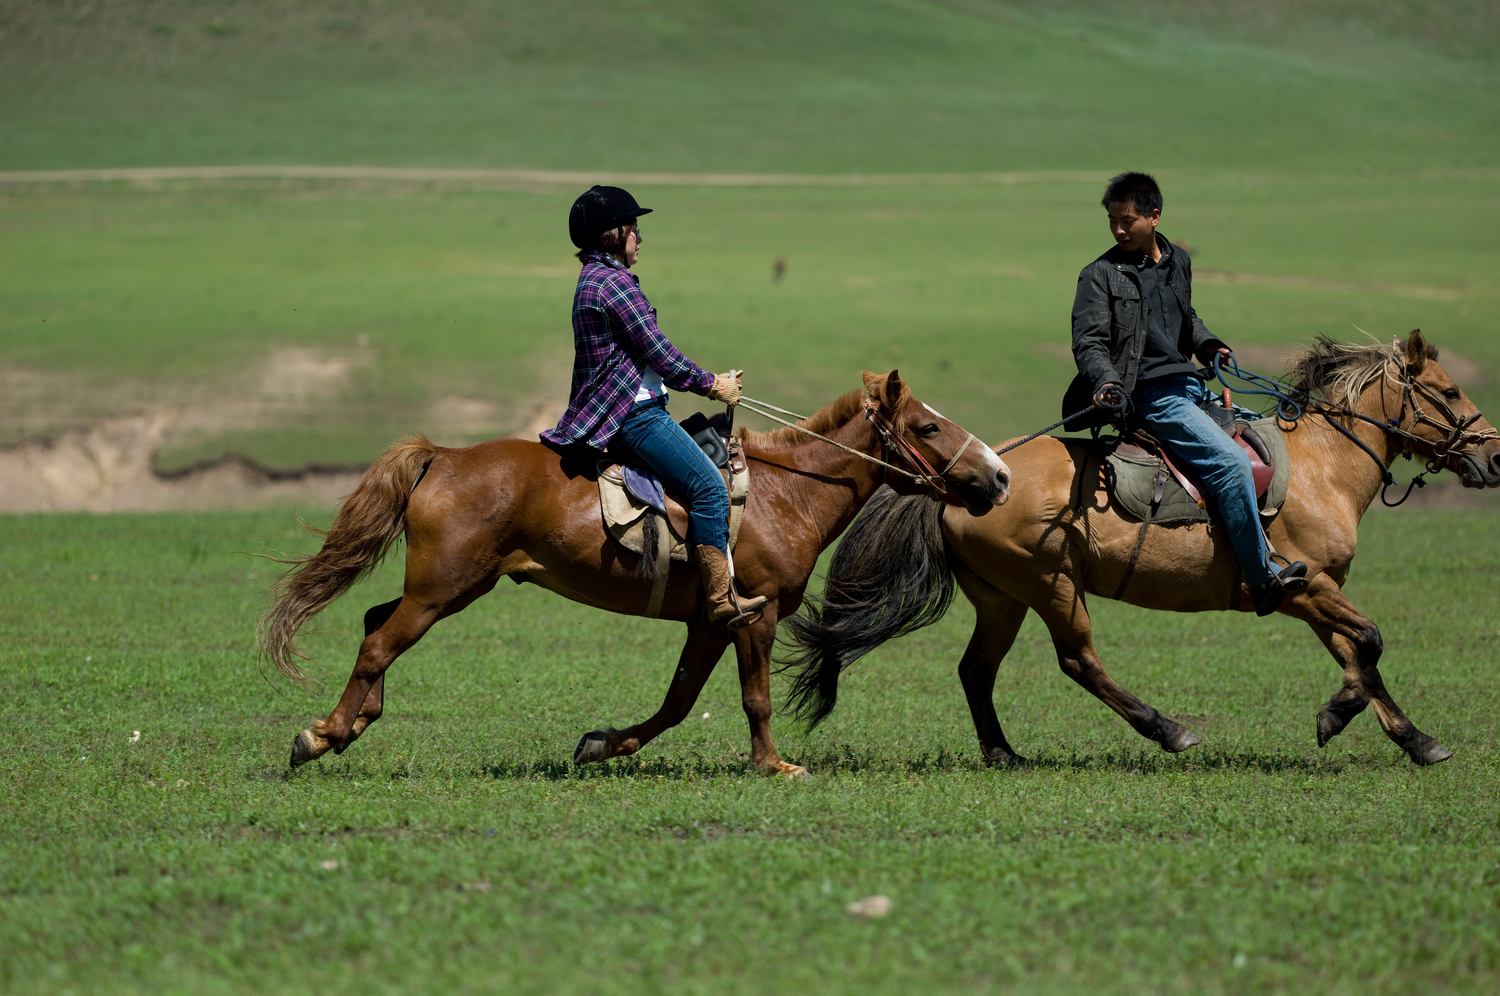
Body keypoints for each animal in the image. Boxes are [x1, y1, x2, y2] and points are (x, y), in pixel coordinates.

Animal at [261, 369, 1008, 774]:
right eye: (928, 427)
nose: (999, 476)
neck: (785, 491)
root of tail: (443, 455)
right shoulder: (756, 613)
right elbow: (756, 698)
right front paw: (774, 764)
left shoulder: (711, 621)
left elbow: (677, 702)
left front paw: (601, 744)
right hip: (443, 589)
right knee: (380, 642)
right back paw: (319, 735)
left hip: (443, 588)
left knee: (373, 622)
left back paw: (352, 725)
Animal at [786, 330, 1500, 765]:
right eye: (1450, 391)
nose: (1493, 457)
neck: (1322, 467)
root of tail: (979, 477)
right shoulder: (1302, 585)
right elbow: (1371, 643)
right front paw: (1335, 716)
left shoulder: (1316, 591)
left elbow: (1360, 656)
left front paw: (1416, 740)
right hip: (1051, 586)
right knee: (1078, 661)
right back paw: (1168, 730)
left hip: (1002, 598)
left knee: (976, 670)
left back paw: (1004, 754)